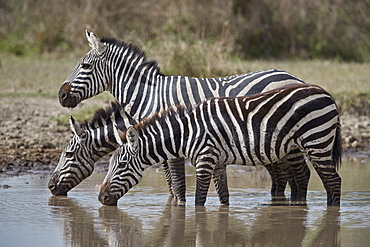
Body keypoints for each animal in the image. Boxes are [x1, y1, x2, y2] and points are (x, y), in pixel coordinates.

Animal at [55, 30, 310, 205]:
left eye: (85, 66)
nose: (61, 95)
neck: (149, 96)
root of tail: (294, 77)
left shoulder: (172, 141)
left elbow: (177, 184)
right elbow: (170, 183)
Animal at [97, 84, 342, 206]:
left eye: (121, 166)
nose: (101, 198)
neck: (187, 133)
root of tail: (326, 93)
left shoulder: (205, 160)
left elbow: (199, 200)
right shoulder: (218, 163)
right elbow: (224, 197)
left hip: (317, 142)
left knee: (333, 181)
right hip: (300, 146)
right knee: (307, 178)